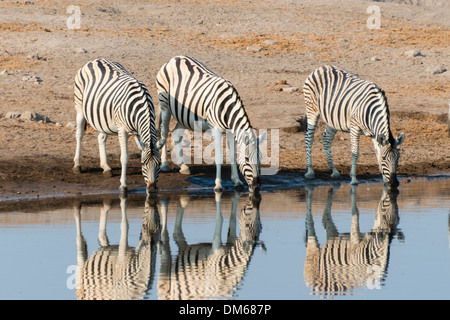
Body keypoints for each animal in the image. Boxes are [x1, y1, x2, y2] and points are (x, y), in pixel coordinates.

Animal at [74, 58, 163, 194]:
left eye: (159, 163)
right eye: (143, 164)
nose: (152, 189)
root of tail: (95, 60)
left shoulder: (140, 132)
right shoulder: (122, 130)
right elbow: (124, 157)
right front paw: (123, 186)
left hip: (101, 116)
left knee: (101, 138)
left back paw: (106, 168)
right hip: (79, 107)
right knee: (79, 134)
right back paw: (77, 165)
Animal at [156, 55, 266, 192]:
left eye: (260, 158)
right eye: (246, 159)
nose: (256, 186)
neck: (227, 107)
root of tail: (175, 58)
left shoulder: (230, 132)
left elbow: (232, 155)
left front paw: (237, 181)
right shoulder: (216, 129)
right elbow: (219, 157)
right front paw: (218, 185)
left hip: (183, 115)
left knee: (176, 133)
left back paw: (183, 166)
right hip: (165, 105)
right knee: (164, 131)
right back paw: (165, 164)